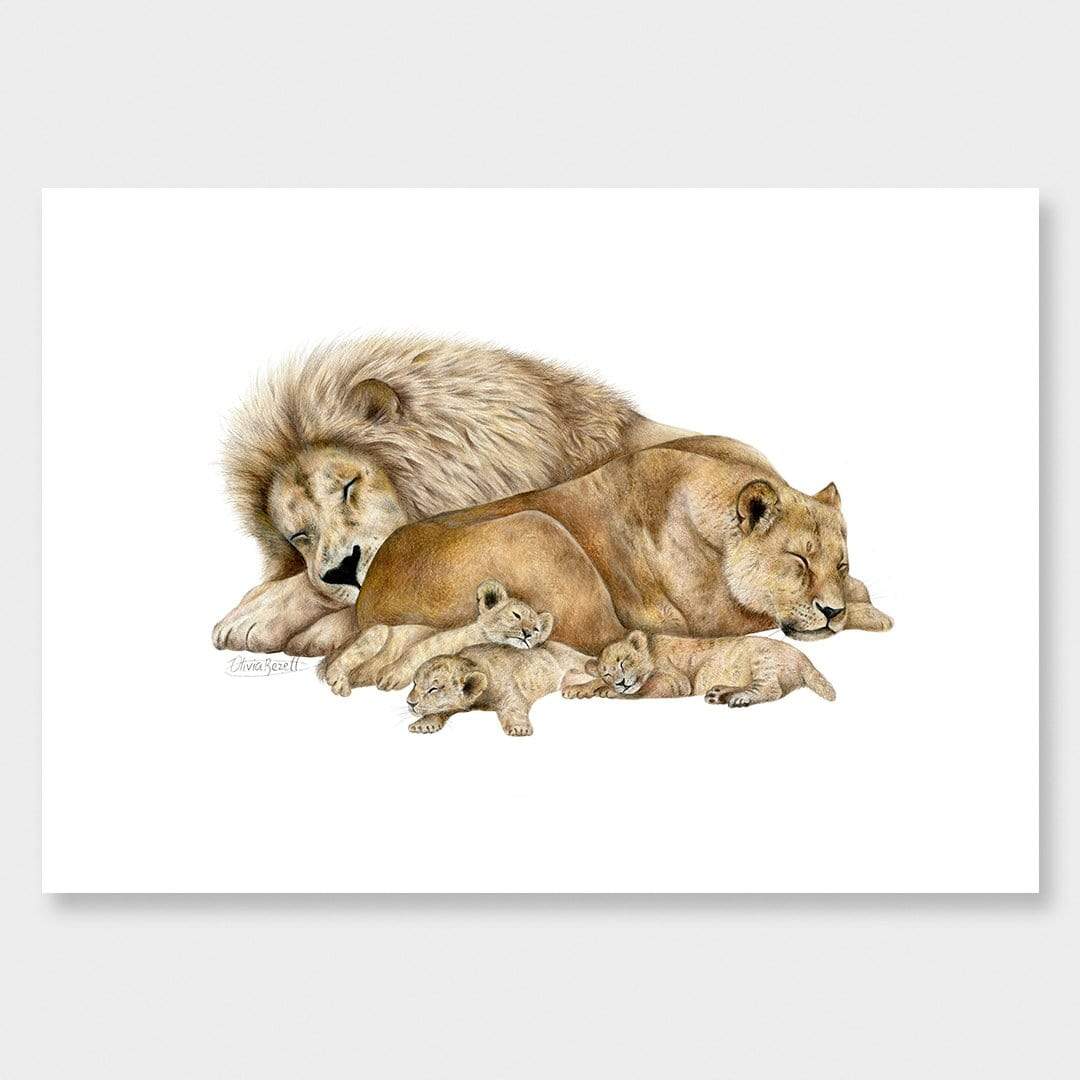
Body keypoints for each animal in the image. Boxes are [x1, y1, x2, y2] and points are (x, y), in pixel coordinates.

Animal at [320, 579, 553, 695]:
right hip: (379, 631)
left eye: (537, 628)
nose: (528, 633)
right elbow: (415, 652)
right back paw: (339, 682)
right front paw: (391, 677)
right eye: (516, 615)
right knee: (337, 663)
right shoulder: (438, 640)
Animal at [404, 642, 596, 736]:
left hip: (572, 660)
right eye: (415, 683)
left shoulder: (509, 684)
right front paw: (423, 724)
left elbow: (514, 705)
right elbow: (439, 710)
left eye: (433, 689)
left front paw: (519, 728)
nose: (410, 703)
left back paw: (578, 689)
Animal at [563, 629, 836, 707]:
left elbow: (643, 690)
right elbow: (593, 680)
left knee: (771, 690)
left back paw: (738, 699)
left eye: (624, 662)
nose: (619, 682)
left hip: (763, 660)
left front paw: (609, 692)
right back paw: (718, 694)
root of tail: (802, 656)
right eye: (608, 672)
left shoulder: (676, 682)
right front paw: (578, 689)